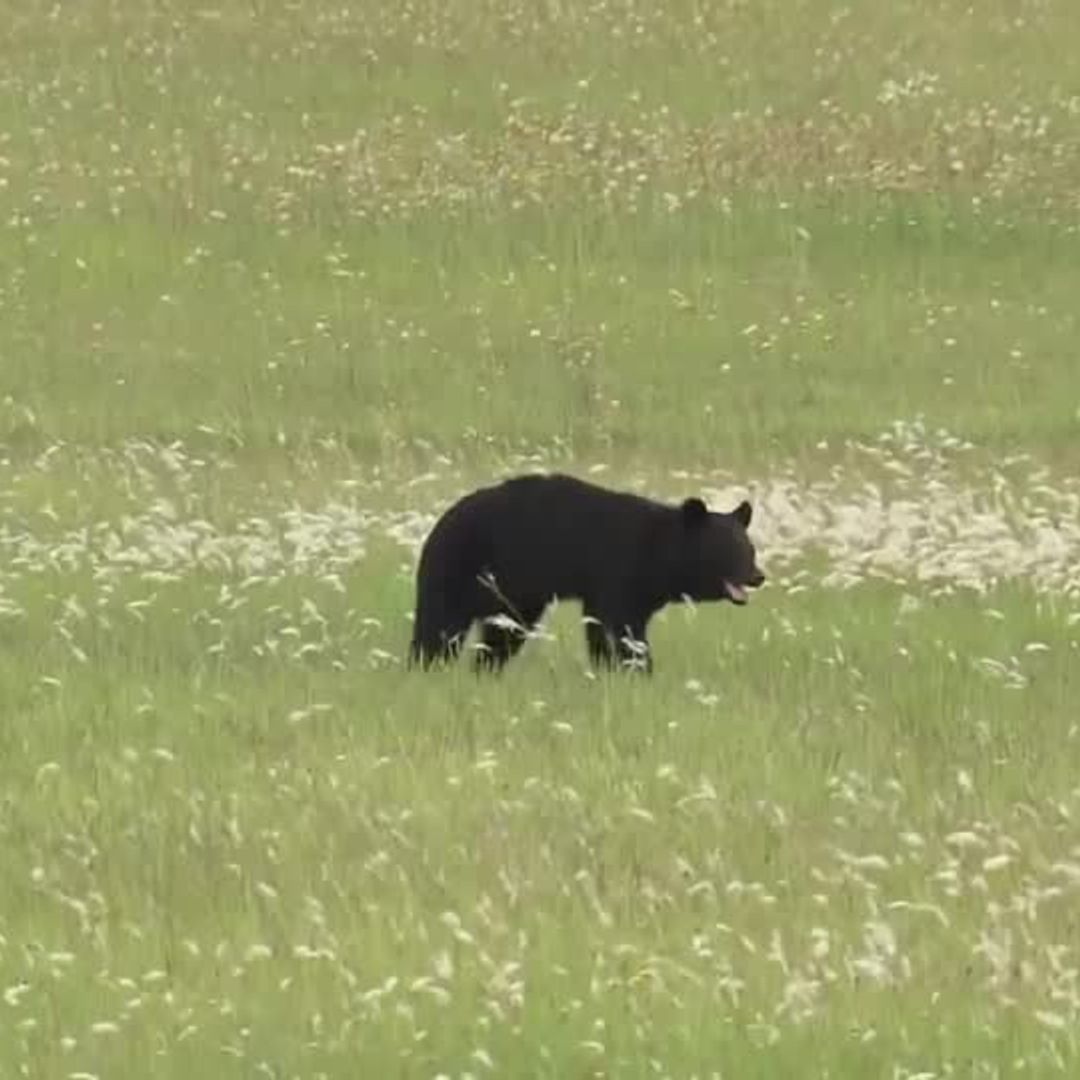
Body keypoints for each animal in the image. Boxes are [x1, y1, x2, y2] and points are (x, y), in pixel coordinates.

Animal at [407, 473, 765, 674]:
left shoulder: (624, 589)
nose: (758, 576)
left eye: (750, 550)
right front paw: (638, 669)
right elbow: (620, 625)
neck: (659, 553)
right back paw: (425, 667)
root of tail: (438, 525)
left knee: (502, 636)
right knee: (438, 627)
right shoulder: (618, 569)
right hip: (459, 570)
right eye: (730, 551)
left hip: (512, 598)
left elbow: (605, 628)